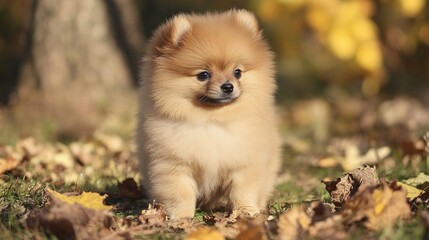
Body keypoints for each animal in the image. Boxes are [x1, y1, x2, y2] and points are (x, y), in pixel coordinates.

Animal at [135, 9, 280, 219]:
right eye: (204, 75)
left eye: (237, 72)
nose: (228, 86)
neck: (211, 120)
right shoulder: (173, 165)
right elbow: (180, 194)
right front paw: (181, 217)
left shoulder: (245, 163)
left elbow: (243, 191)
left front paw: (246, 212)